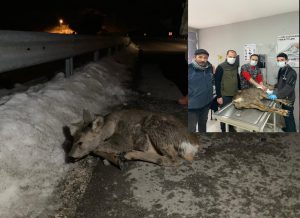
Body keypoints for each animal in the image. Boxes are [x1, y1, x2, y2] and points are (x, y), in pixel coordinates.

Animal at [63, 109, 203, 169]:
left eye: (80, 142)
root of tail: (194, 145)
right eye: (72, 139)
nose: (69, 156)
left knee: (172, 159)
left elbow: (99, 147)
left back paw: (129, 155)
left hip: (156, 129)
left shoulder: (123, 140)